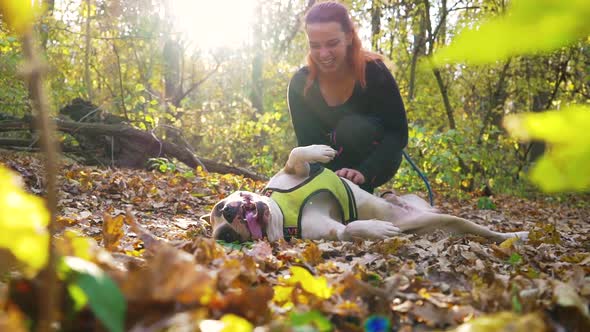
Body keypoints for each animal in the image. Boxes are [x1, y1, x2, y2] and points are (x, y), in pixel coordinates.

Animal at [206, 144, 528, 243]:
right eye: (228, 237)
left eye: (221, 207)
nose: (230, 212)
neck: (284, 209)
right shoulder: (329, 232)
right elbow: (350, 229)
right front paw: (376, 228)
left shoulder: (291, 173)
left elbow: (296, 154)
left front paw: (322, 151)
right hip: (445, 222)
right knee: (486, 231)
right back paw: (518, 235)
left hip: (417, 201)